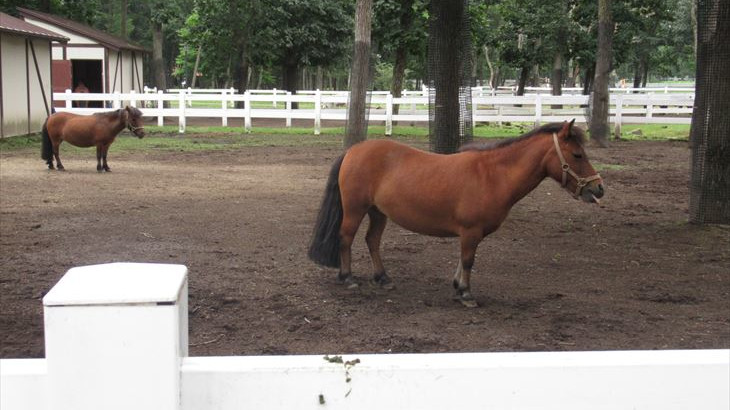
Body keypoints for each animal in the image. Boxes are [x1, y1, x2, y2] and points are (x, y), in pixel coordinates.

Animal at [308, 120, 604, 307]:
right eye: (577, 155)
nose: (599, 188)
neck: (493, 175)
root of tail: (353, 150)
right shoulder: (471, 231)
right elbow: (469, 260)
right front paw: (466, 293)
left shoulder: (471, 233)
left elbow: (463, 259)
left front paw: (457, 285)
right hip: (356, 210)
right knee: (346, 238)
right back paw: (347, 278)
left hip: (378, 212)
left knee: (372, 241)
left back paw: (383, 279)